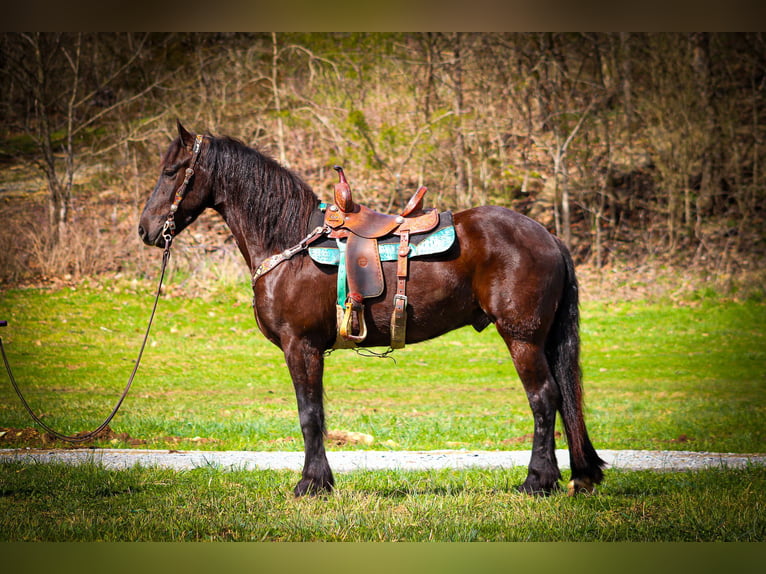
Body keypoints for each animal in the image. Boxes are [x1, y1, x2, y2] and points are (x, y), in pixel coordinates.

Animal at [138, 122, 608, 500]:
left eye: (171, 171)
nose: (145, 230)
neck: (289, 243)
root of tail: (548, 236)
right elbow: (315, 415)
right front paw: (320, 481)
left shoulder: (300, 346)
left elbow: (310, 415)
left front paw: (312, 484)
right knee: (558, 399)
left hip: (522, 338)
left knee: (544, 398)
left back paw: (537, 482)